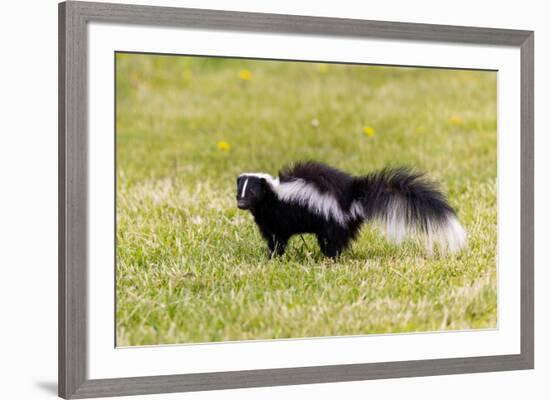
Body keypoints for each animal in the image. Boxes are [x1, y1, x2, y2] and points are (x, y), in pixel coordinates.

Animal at [235, 161, 468, 258]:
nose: (240, 204)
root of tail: (353, 196)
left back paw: (329, 258)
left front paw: (272, 256)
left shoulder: (277, 217)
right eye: (239, 193)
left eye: (252, 193)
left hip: (332, 219)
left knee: (332, 242)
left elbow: (277, 239)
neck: (273, 194)